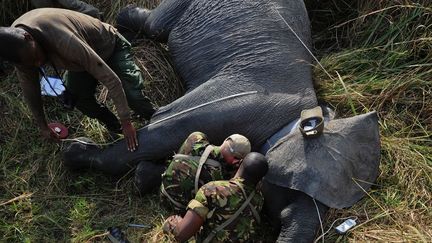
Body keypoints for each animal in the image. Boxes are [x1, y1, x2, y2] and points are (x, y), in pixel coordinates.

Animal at [62, 0, 380, 241]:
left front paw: (144, 175)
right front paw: (75, 152)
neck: (305, 115)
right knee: (155, 25)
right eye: (295, 189)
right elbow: (165, 126)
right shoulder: (237, 103)